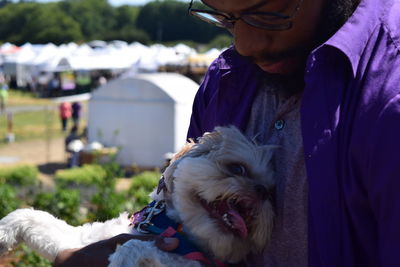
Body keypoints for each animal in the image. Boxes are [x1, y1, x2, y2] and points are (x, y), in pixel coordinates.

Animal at [0, 126, 276, 266]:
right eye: (238, 168)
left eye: (272, 192)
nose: (263, 190)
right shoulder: (81, 241)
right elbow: (37, 217)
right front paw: (4, 233)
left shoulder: (188, 262)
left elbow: (133, 246)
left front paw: (122, 259)